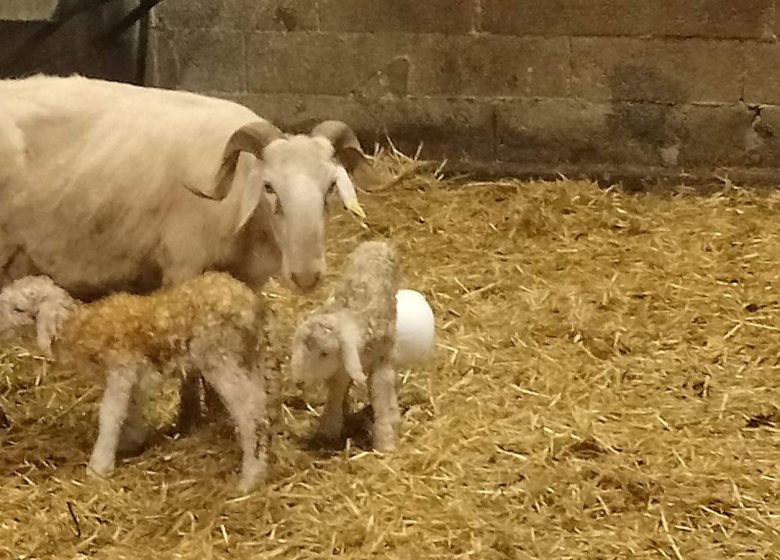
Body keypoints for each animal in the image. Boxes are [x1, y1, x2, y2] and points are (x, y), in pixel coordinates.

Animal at [0, 274, 278, 492]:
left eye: (18, 309)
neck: (80, 326)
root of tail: (251, 306)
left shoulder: (121, 368)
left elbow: (110, 414)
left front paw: (98, 466)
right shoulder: (131, 375)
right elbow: (130, 408)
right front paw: (130, 442)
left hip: (222, 358)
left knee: (249, 415)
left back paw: (250, 478)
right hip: (247, 358)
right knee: (258, 403)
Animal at [290, 240, 402, 450]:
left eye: (325, 353)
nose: (299, 381)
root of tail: (375, 242)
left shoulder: (380, 358)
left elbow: (381, 394)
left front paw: (385, 441)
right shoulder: (341, 365)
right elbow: (337, 389)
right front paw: (329, 429)